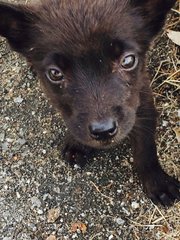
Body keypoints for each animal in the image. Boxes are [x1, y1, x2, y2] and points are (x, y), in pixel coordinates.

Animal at [0, 0, 179, 206]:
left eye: (128, 60)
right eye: (55, 73)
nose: (103, 131)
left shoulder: (141, 96)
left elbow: (146, 145)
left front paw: (157, 182)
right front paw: (77, 144)